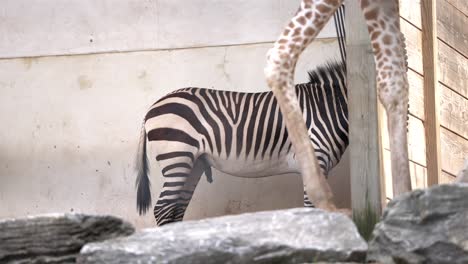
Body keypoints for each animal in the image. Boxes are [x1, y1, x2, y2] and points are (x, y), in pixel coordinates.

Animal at [135, 61, 348, 225]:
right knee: (163, 208)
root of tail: (151, 109)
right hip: (177, 158)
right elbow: (314, 206)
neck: (329, 108)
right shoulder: (315, 158)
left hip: (193, 163)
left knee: (176, 208)